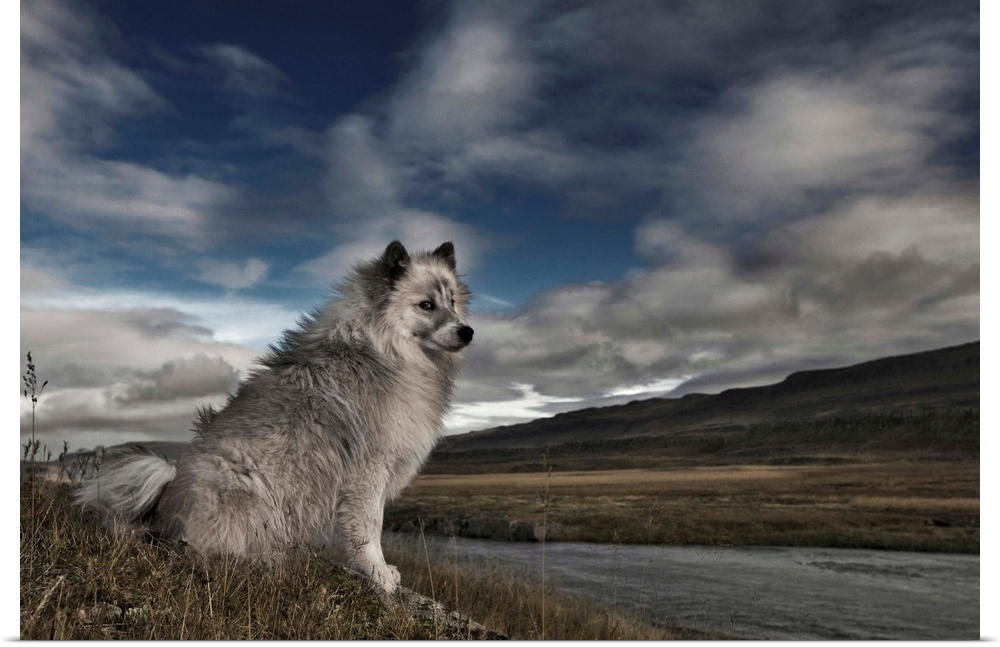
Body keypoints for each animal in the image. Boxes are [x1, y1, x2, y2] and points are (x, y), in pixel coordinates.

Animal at [74, 240, 472, 596]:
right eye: (426, 305)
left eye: (452, 302)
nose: (467, 331)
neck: (381, 349)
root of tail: (160, 513)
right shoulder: (368, 471)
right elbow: (369, 530)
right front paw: (379, 575)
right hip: (242, 484)